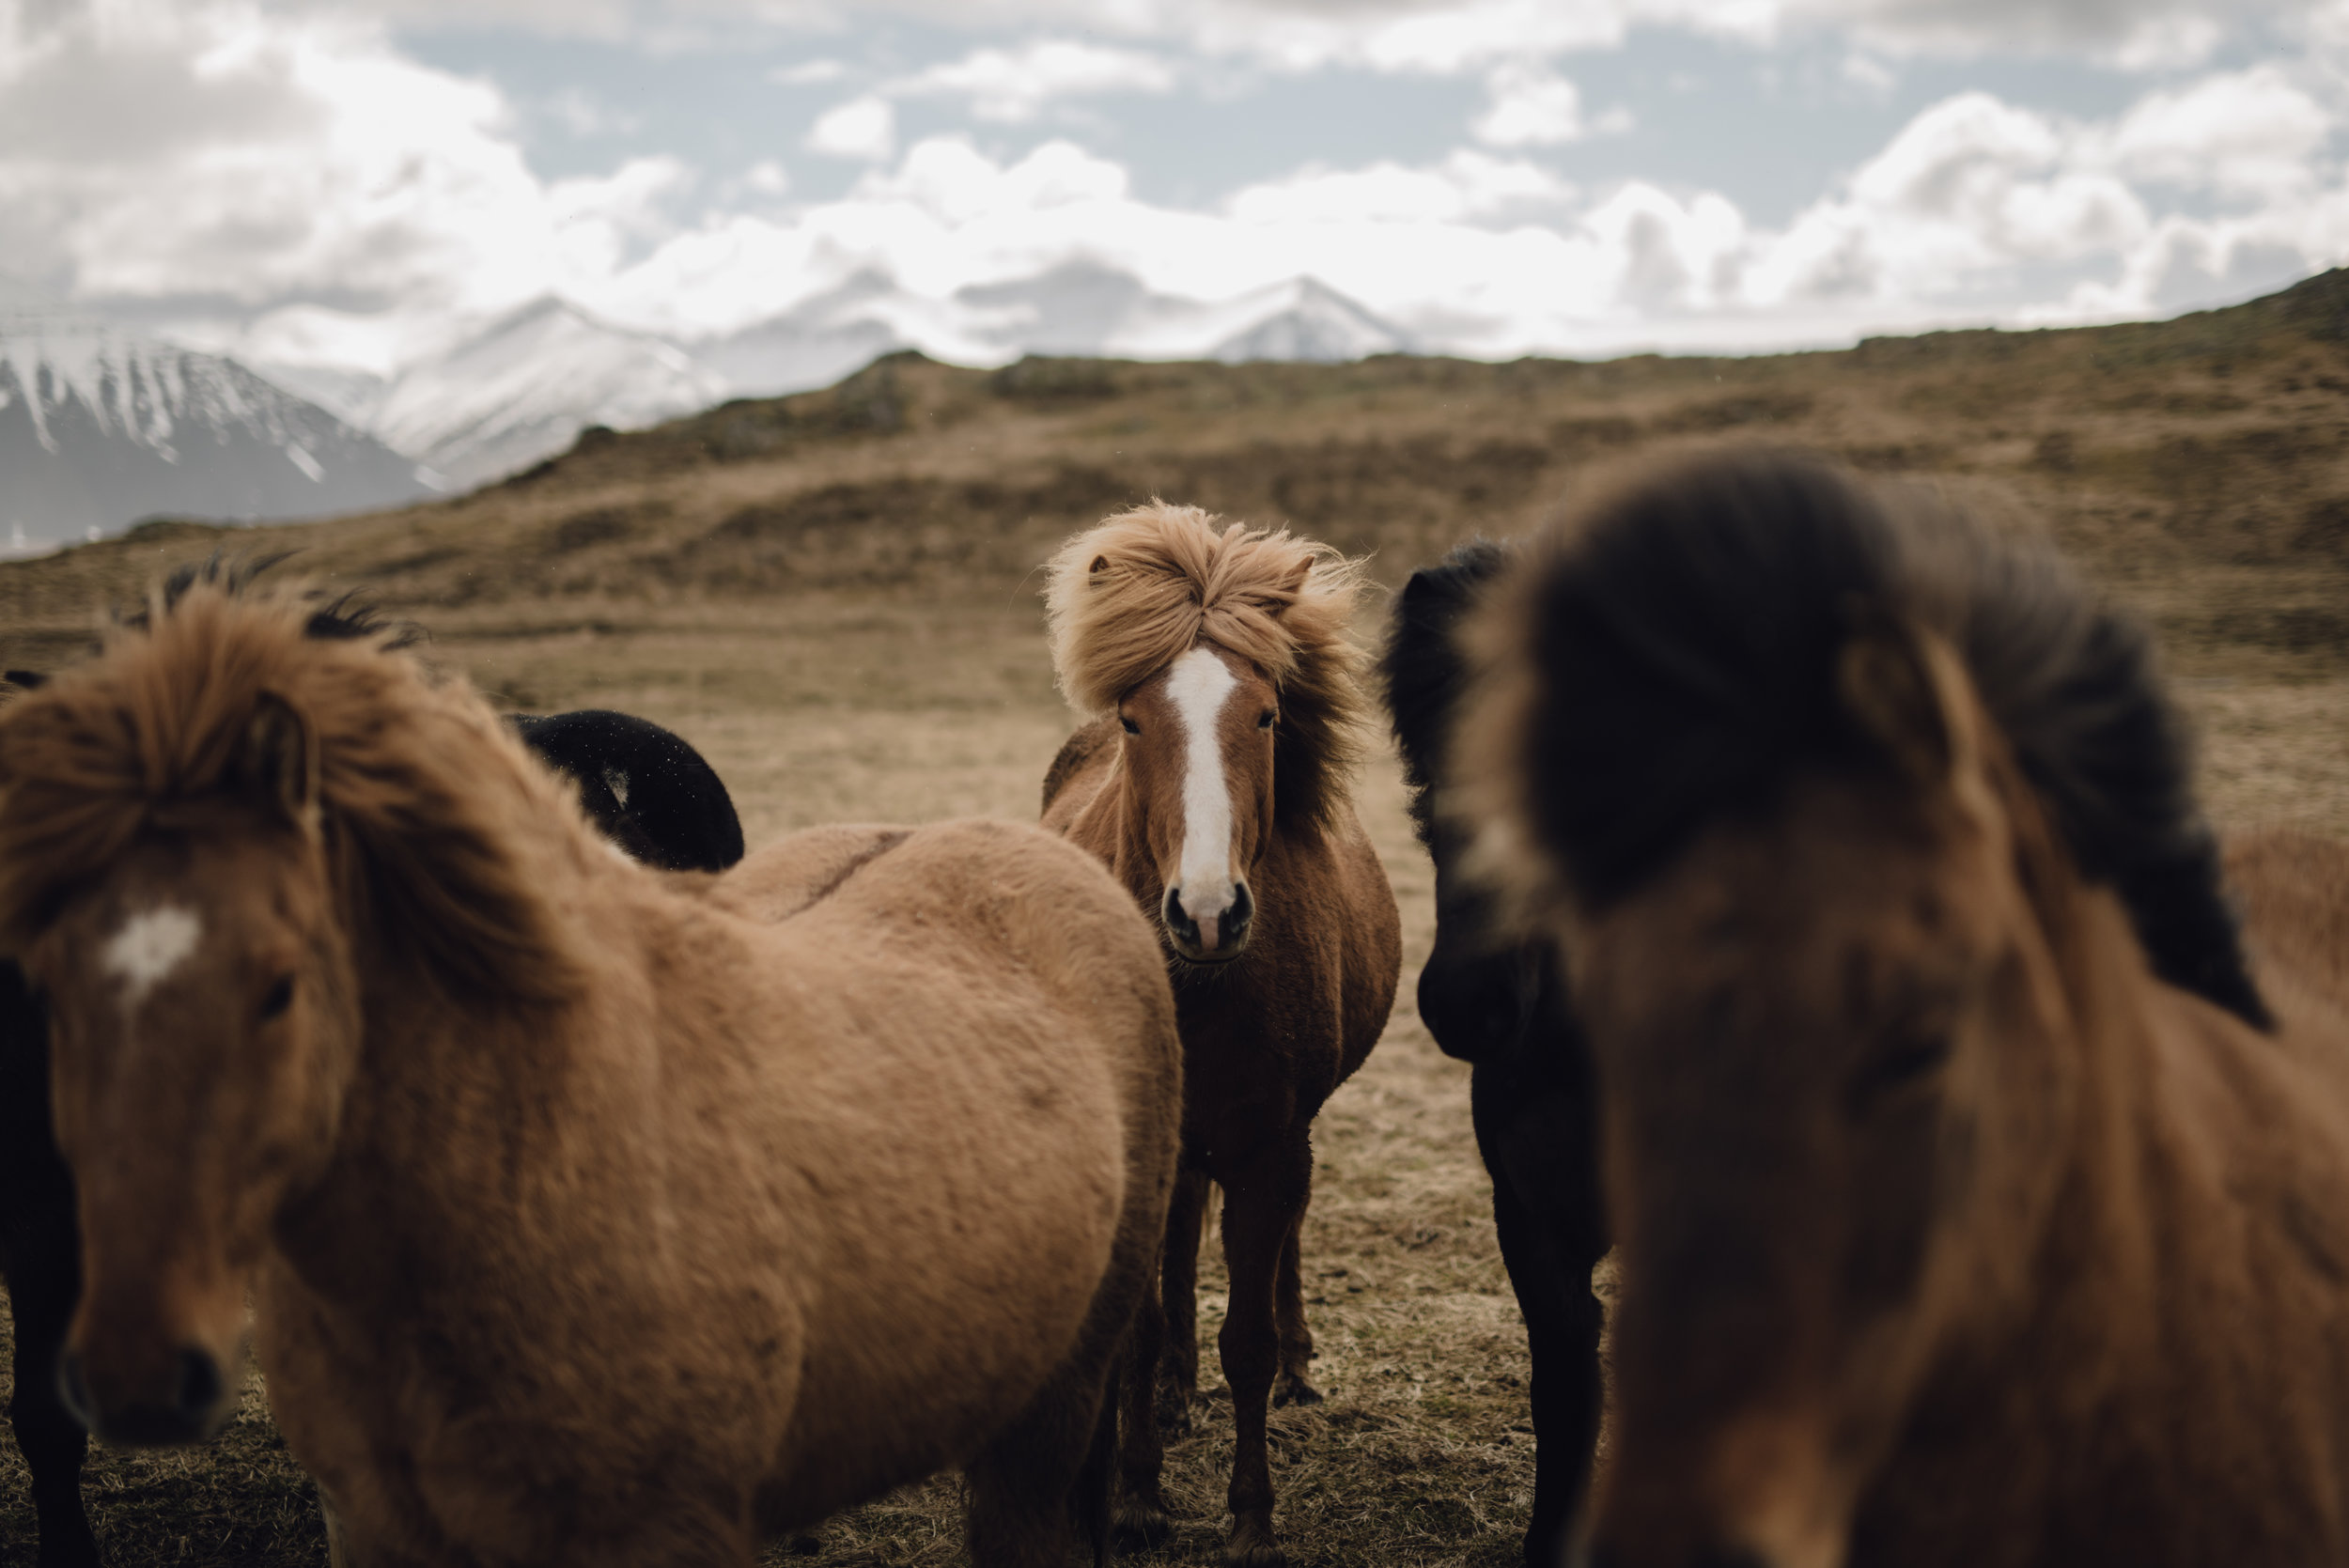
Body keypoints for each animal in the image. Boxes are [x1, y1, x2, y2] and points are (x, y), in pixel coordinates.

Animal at [1043, 505, 1391, 1568]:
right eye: (1133, 720)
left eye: (1268, 716)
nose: (1205, 912)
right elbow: (1144, 1322)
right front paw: (1136, 1496)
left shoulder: (1271, 1147)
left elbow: (1247, 1337)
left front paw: (1249, 1517)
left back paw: (1297, 1364)